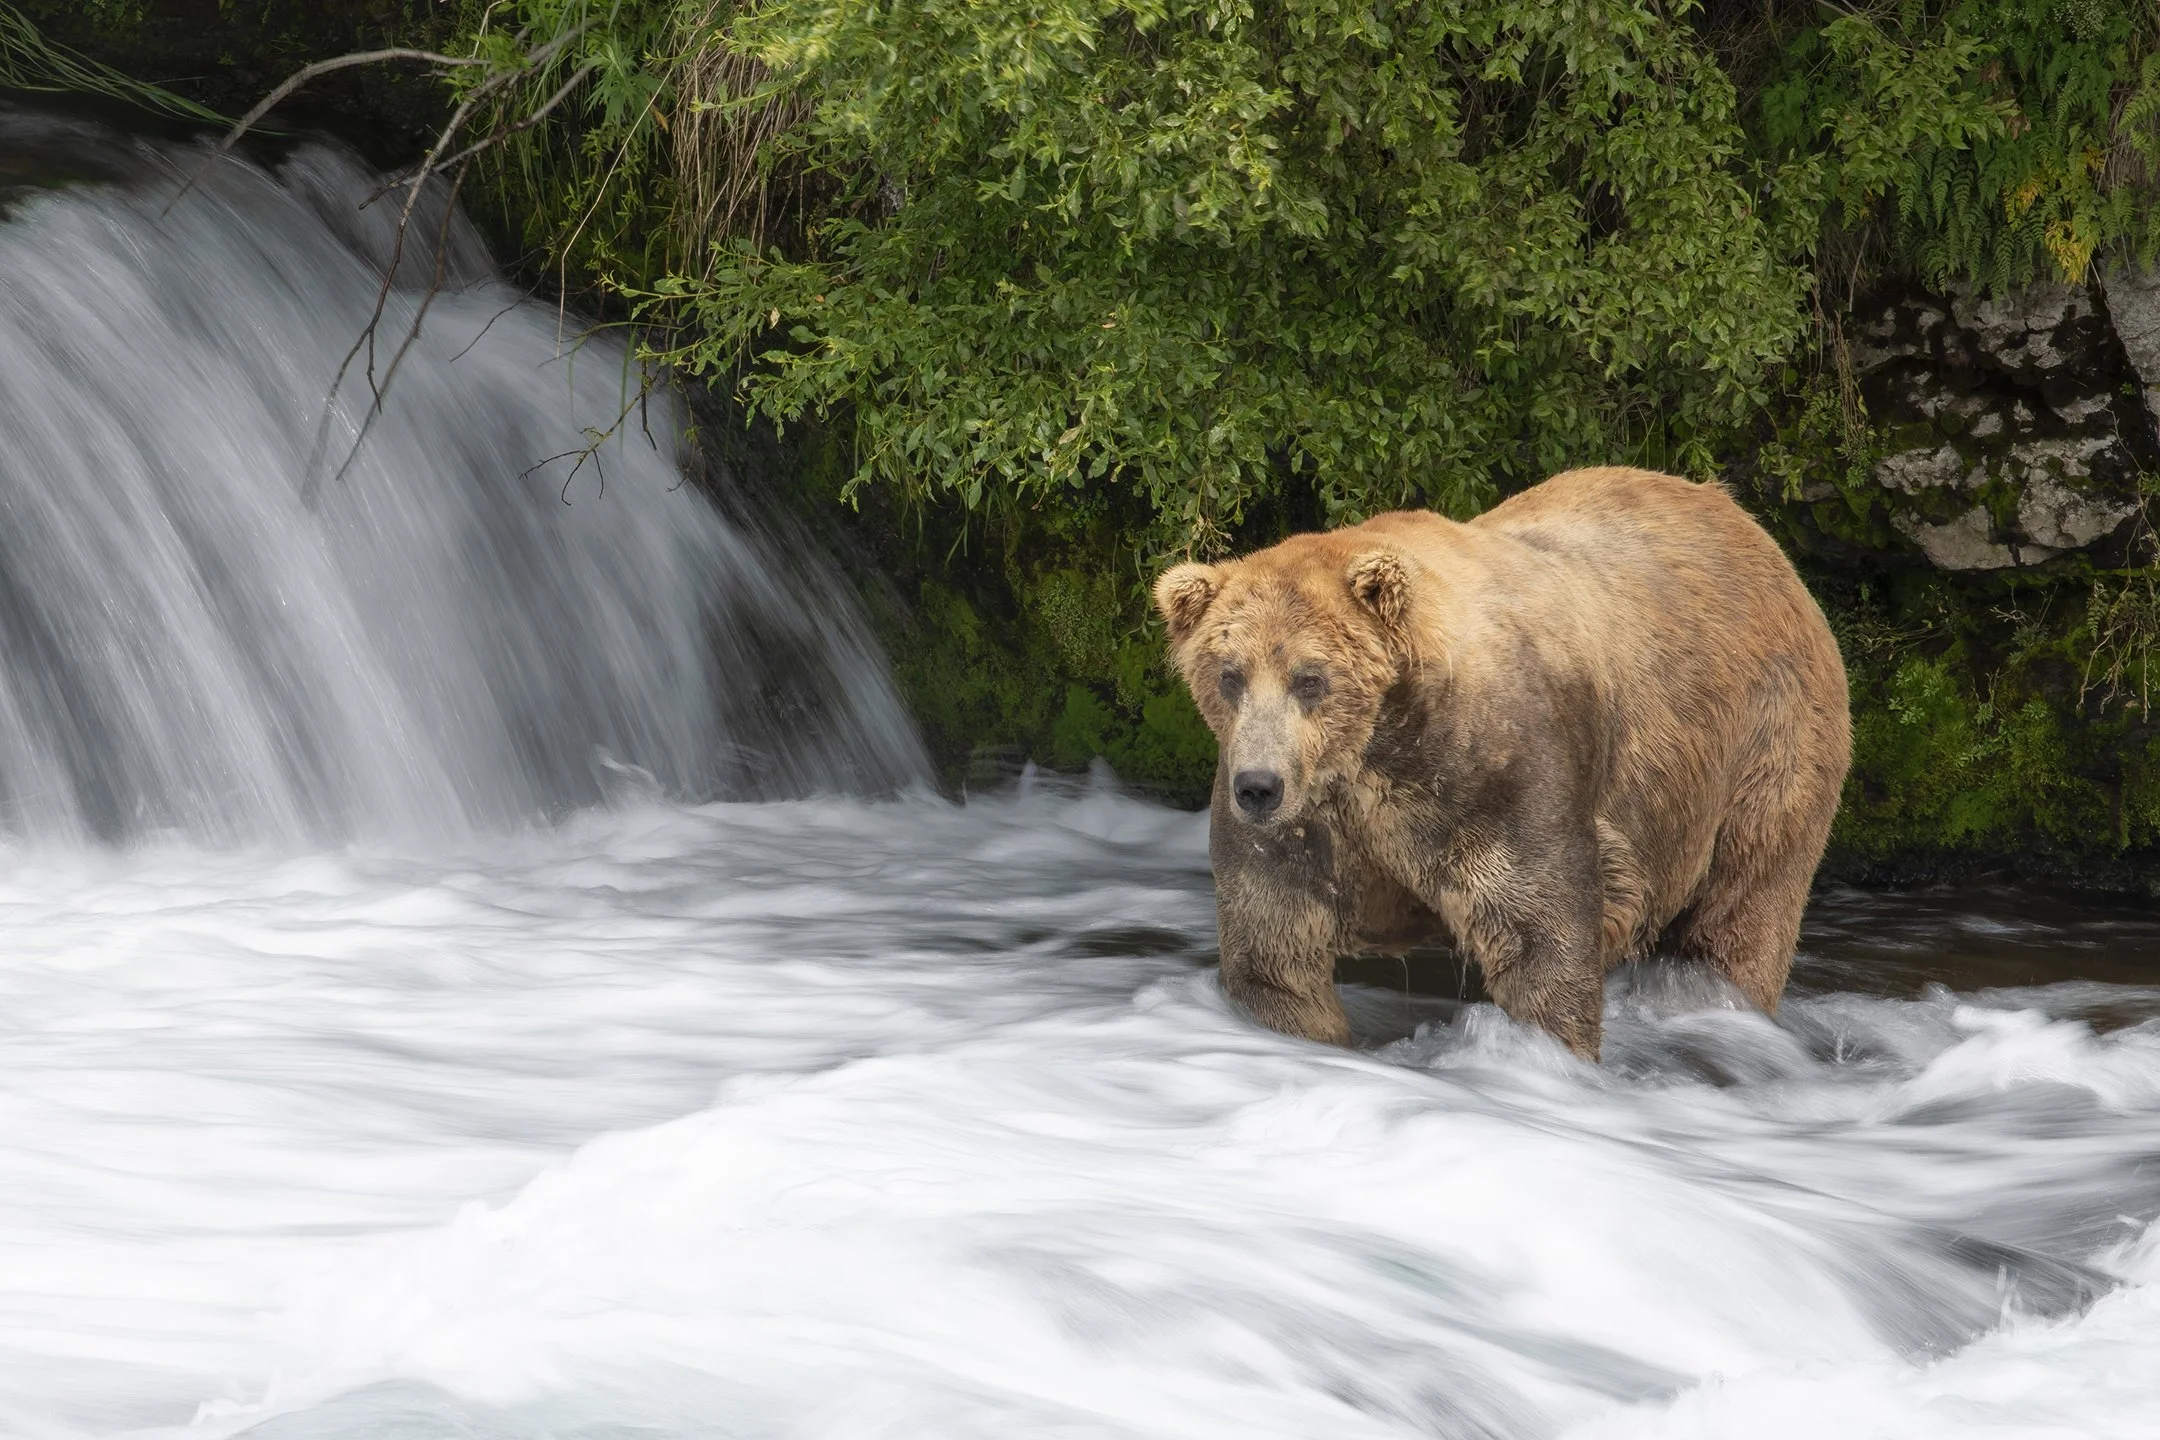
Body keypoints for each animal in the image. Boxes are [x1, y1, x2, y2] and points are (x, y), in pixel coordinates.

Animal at [1153, 466, 1851, 1060]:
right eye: (1229, 675)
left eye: (1310, 678)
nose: (1259, 787)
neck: (1379, 752)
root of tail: (1753, 531)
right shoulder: (1310, 823)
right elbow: (1275, 952)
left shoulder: (1500, 773)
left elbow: (1542, 934)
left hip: (1763, 742)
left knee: (1742, 910)